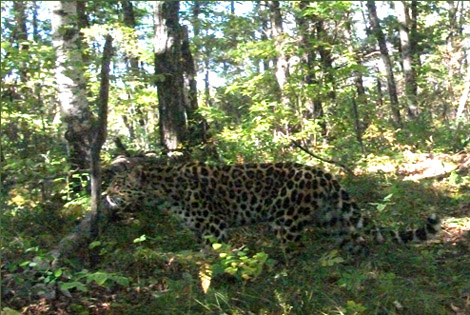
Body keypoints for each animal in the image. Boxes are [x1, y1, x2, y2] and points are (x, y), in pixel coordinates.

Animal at [103, 160, 440, 252]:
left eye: (117, 186)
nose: (105, 195)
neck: (162, 190)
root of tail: (323, 173)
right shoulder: (200, 231)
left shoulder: (214, 228)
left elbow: (216, 258)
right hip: (331, 221)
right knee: (354, 245)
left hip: (287, 222)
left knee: (295, 255)